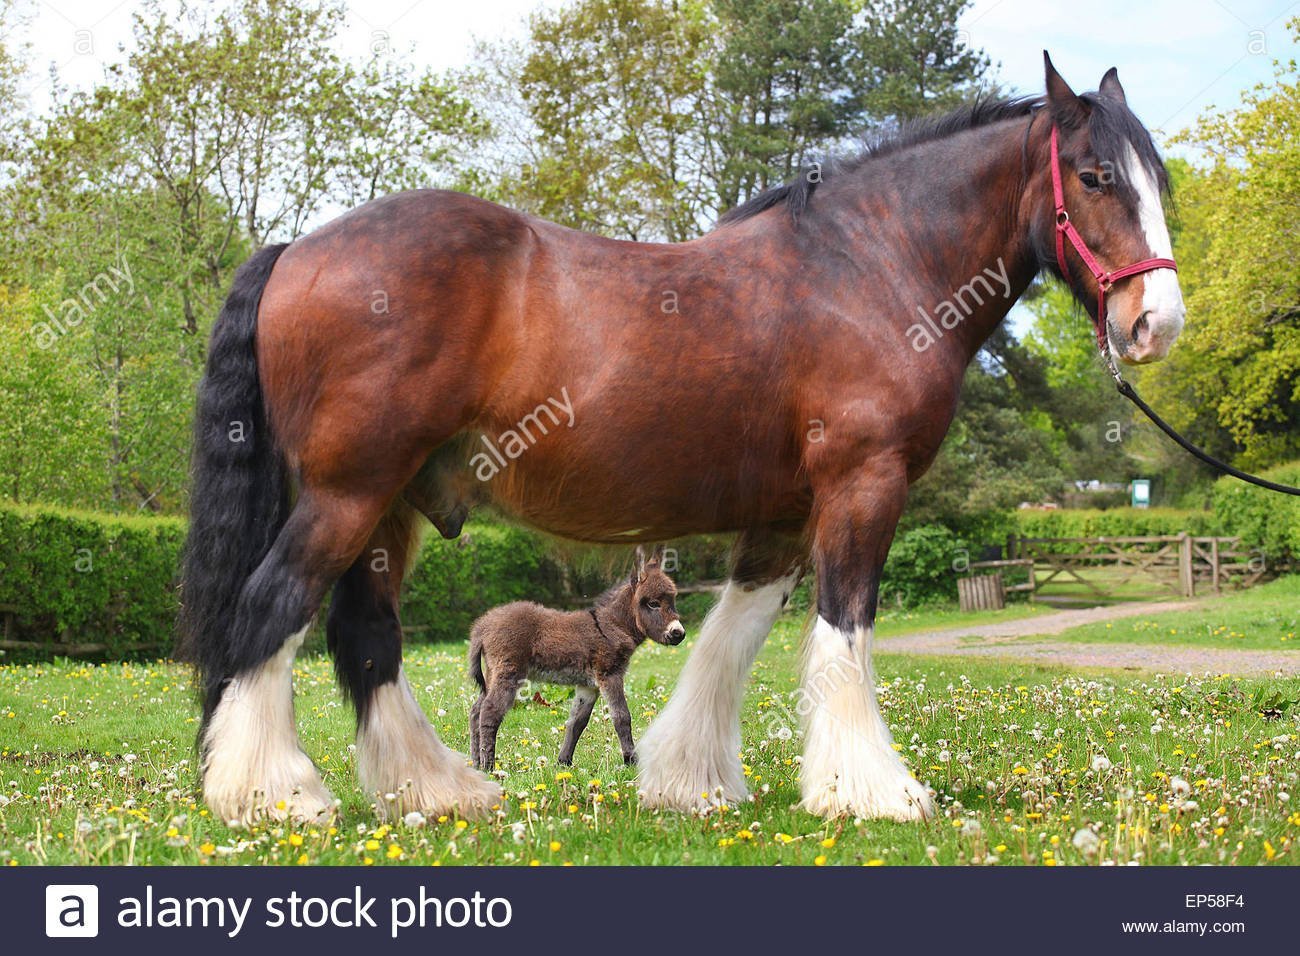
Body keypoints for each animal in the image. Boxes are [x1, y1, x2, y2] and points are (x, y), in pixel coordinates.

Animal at [470, 546, 691, 770]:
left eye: (673, 600)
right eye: (654, 604)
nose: (679, 633)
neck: (614, 625)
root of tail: (483, 625)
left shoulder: (589, 685)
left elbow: (577, 722)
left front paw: (564, 762)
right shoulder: (610, 675)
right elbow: (622, 717)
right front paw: (631, 761)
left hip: (492, 672)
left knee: (475, 711)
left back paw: (476, 763)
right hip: (509, 672)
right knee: (489, 711)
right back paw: (489, 766)